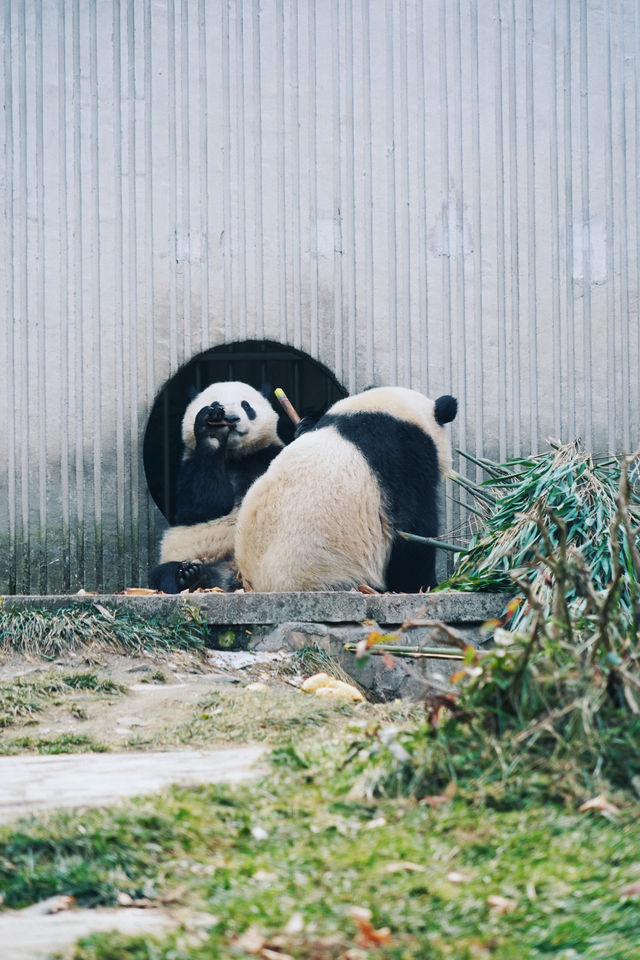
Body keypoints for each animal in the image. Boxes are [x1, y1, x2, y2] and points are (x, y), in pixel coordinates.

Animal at [149, 380, 282, 592]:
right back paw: (192, 577)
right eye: (215, 404)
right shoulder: (189, 465)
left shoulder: (267, 454)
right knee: (164, 571)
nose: (231, 418)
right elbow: (198, 507)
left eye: (246, 405)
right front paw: (213, 434)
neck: (235, 457)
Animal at [234, 386, 456, 596]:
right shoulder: (403, 459)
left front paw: (304, 425)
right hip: (331, 573)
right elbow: (412, 530)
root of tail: (256, 585)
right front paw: (424, 584)